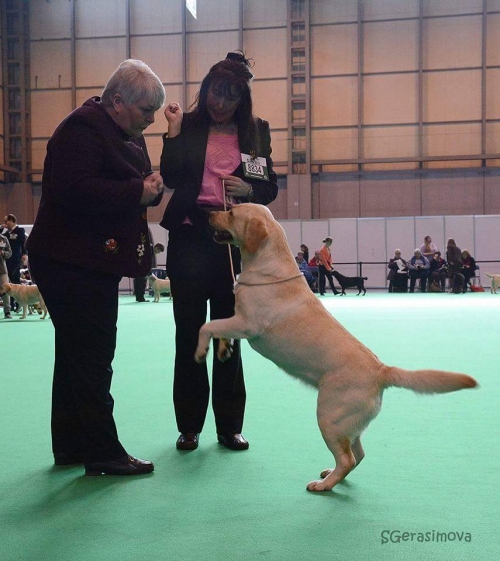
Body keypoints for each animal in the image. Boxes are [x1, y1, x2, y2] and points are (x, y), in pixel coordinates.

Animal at [193, 205, 478, 490]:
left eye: (231, 212)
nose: (208, 212)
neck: (267, 266)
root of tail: (382, 371)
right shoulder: (237, 320)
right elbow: (220, 329)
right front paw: (223, 350)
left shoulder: (247, 324)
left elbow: (208, 326)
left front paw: (200, 352)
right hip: (348, 422)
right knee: (358, 453)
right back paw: (329, 474)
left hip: (329, 417)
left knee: (348, 458)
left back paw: (323, 485)